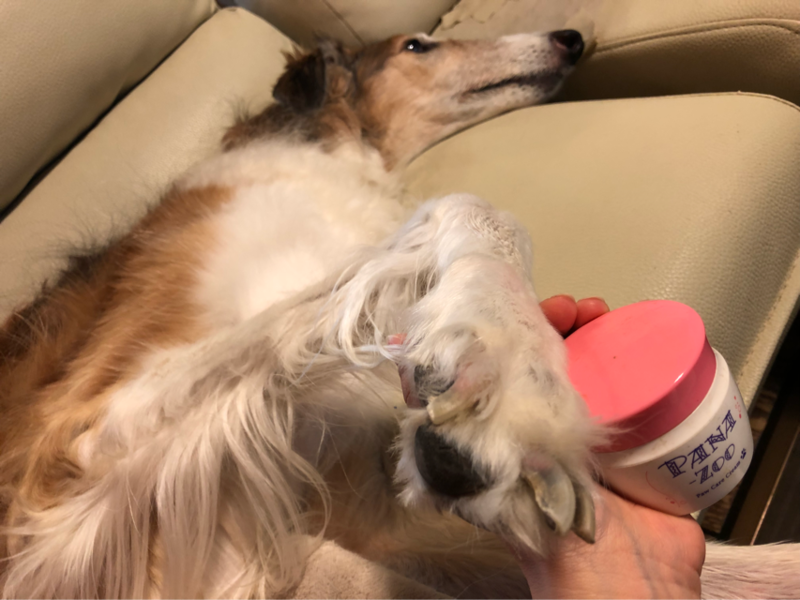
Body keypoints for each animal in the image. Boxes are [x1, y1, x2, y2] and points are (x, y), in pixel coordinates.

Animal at [1, 30, 798, 600]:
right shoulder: (92, 437)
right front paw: (513, 377)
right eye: (419, 45)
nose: (571, 36)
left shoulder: (359, 515)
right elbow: (471, 209)